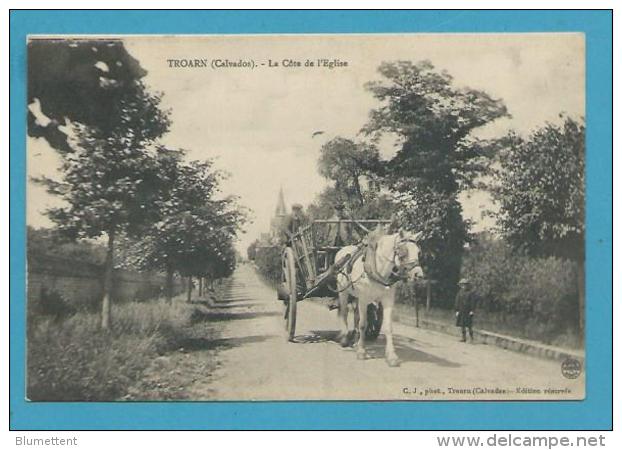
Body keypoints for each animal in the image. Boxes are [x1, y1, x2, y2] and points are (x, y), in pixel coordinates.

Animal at [336, 229, 424, 366]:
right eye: (403, 252)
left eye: (418, 252)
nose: (418, 275)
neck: (377, 267)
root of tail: (343, 249)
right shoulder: (364, 299)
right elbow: (363, 324)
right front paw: (362, 351)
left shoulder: (388, 300)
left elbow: (388, 327)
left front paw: (391, 356)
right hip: (343, 292)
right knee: (344, 313)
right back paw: (345, 338)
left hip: (356, 297)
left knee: (356, 316)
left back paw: (355, 341)